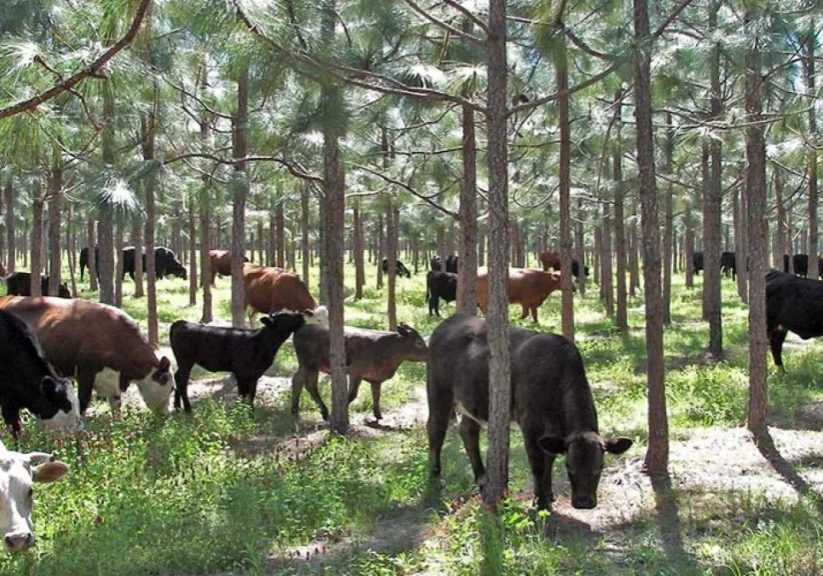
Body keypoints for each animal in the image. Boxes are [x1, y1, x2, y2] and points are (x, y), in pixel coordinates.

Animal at [0, 297, 173, 416]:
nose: (167, 415)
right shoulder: (86, 372)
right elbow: (83, 401)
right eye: (172, 388)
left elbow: (116, 405)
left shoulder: (112, 381)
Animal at [170, 310, 316, 413]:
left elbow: (251, 394)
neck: (261, 343)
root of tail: (182, 323)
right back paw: (188, 409)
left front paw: (251, 412)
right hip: (186, 360)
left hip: (182, 362)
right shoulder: (240, 373)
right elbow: (242, 394)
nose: (302, 316)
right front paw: (241, 413)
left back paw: (177, 407)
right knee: (182, 382)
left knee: (177, 378)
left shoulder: (255, 374)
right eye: (286, 316)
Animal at [292, 323, 428, 421]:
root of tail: (302, 328)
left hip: (309, 365)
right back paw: (311, 411)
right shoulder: (355, 372)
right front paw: (343, 412)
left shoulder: (375, 378)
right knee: (304, 383)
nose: (429, 354)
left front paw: (378, 415)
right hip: (308, 364)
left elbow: (377, 395)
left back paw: (304, 410)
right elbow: (352, 395)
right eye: (419, 343)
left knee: (303, 382)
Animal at [427, 314, 632, 510]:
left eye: (600, 466)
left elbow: (549, 460)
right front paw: (541, 502)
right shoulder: (531, 425)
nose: (583, 502)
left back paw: (482, 478)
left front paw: (547, 494)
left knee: (468, 431)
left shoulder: (553, 433)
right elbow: (538, 465)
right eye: (569, 466)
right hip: (438, 391)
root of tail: (450, 321)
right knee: (435, 428)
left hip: (473, 402)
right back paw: (434, 476)